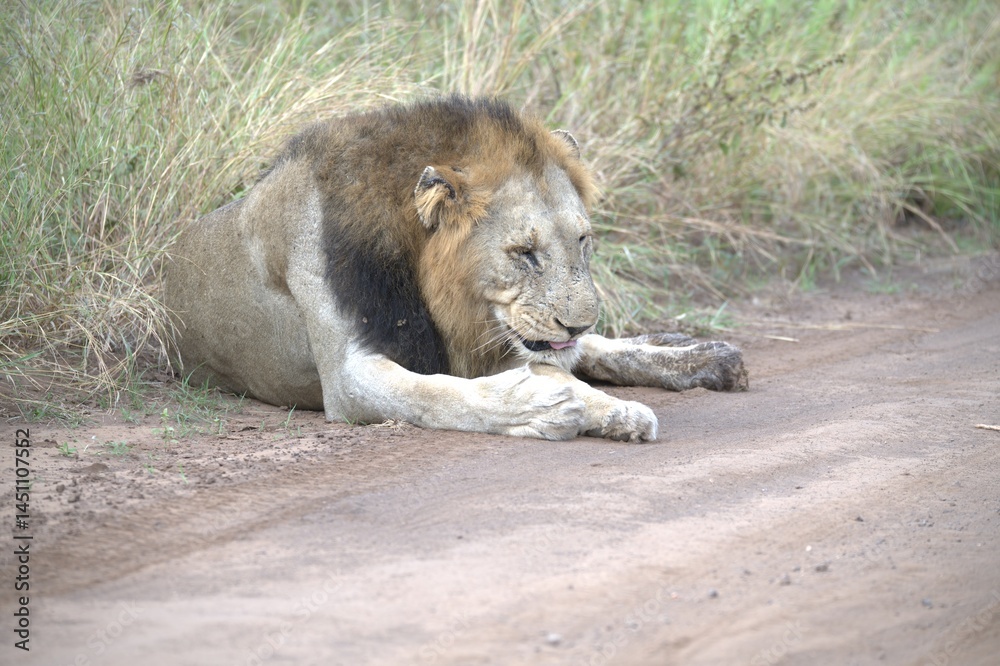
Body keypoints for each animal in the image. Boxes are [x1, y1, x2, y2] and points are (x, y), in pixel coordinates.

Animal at [164, 96, 747, 442]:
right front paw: (542, 406)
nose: (578, 321)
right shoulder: (348, 375)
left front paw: (614, 408)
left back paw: (700, 356)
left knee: (588, 351)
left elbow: (557, 365)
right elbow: (436, 395)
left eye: (582, 241)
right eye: (524, 252)